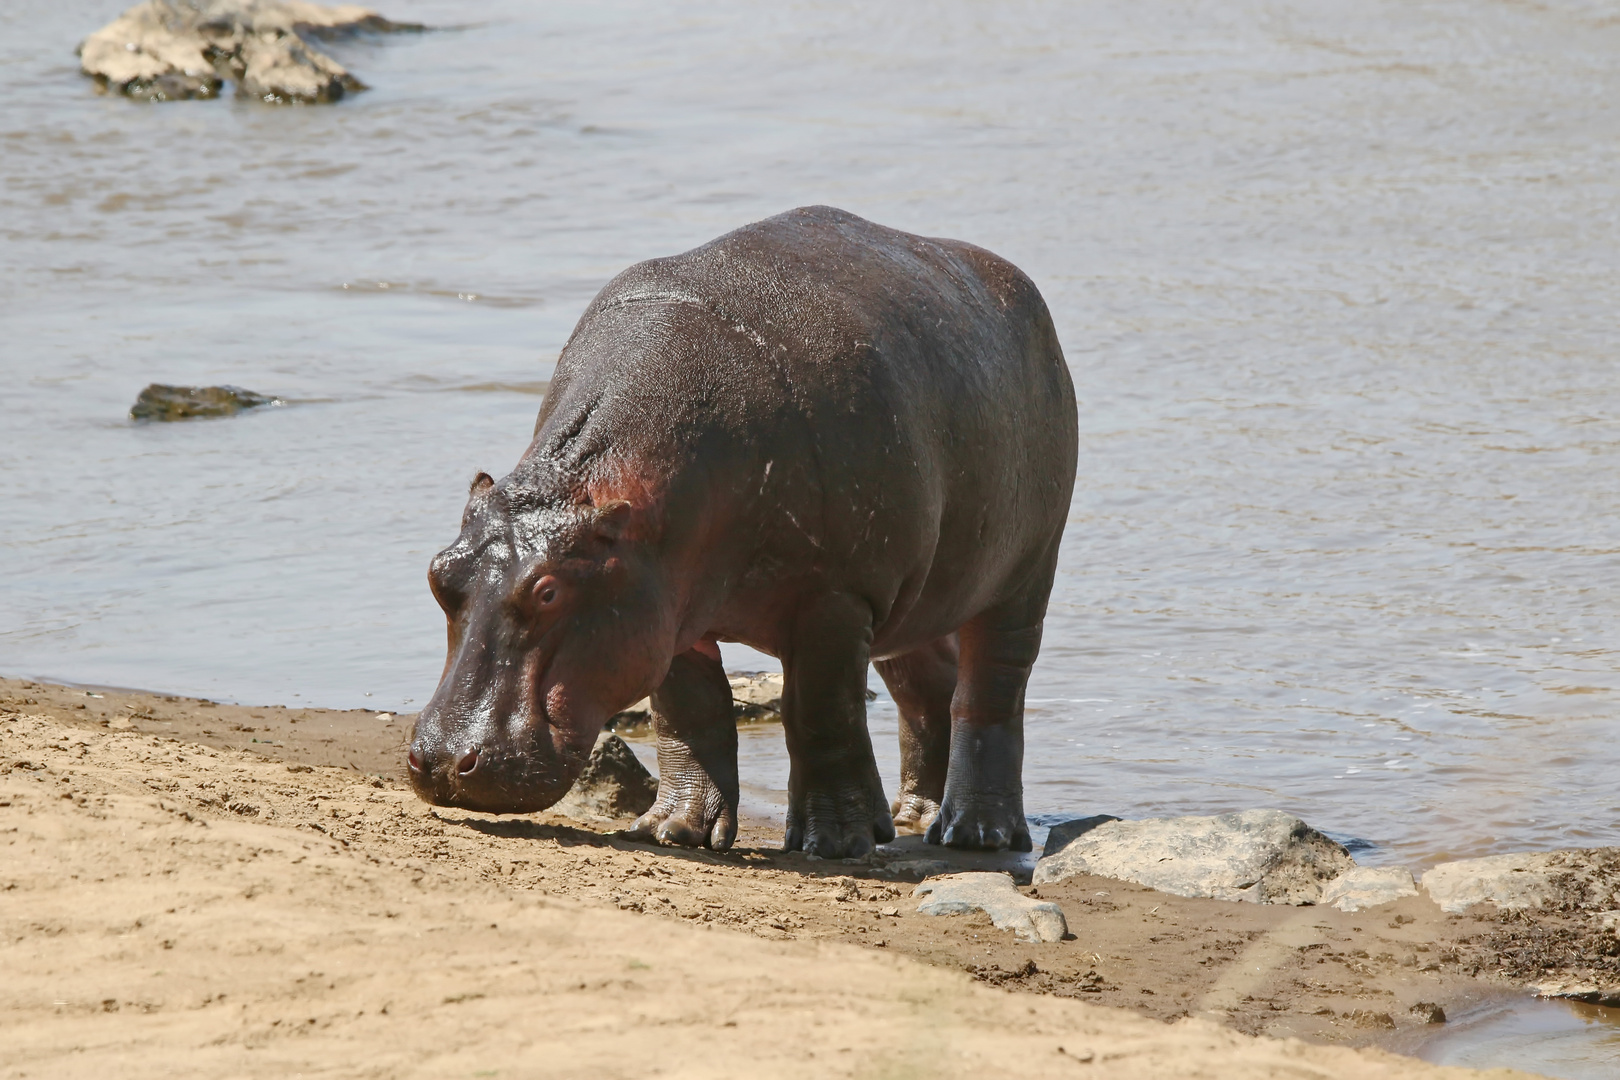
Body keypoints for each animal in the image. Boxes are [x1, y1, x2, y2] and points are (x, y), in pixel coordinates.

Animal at [411, 207, 1082, 854]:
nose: (442, 761)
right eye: (439, 575)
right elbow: (690, 715)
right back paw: (913, 815)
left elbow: (820, 715)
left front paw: (834, 843)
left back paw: (977, 833)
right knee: (926, 689)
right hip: (912, 599)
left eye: (549, 591)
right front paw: (672, 829)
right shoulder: (667, 603)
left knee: (991, 691)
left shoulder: (835, 598)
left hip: (1025, 572)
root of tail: (1026, 294)